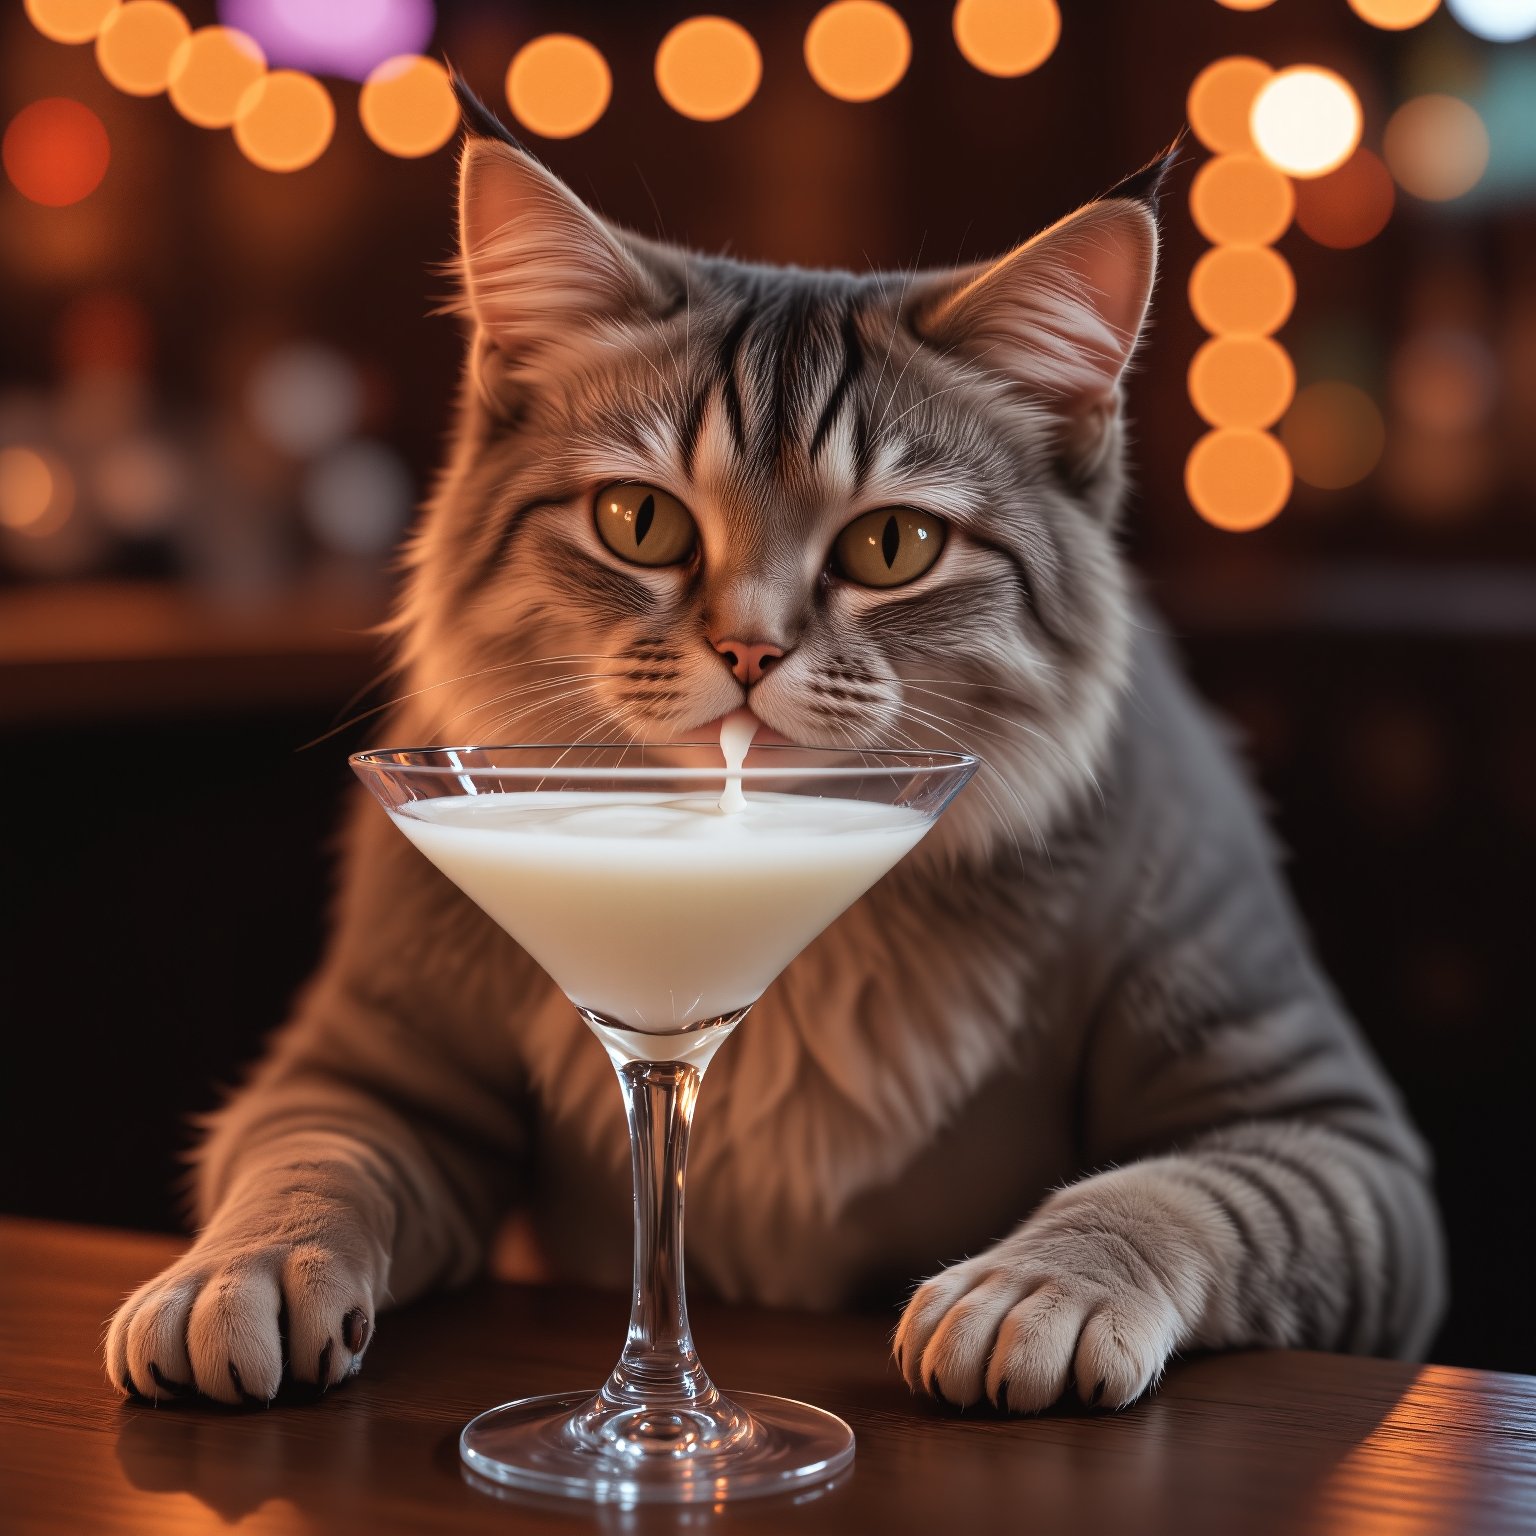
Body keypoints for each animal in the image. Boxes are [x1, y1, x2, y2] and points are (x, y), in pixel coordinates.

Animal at [102, 89, 1443, 1413]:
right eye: (638, 521)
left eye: (894, 546)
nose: (747, 651)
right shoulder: (362, 1064)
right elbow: (309, 1166)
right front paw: (245, 1275)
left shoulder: (1330, 1131)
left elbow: (1174, 1196)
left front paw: (1039, 1287)